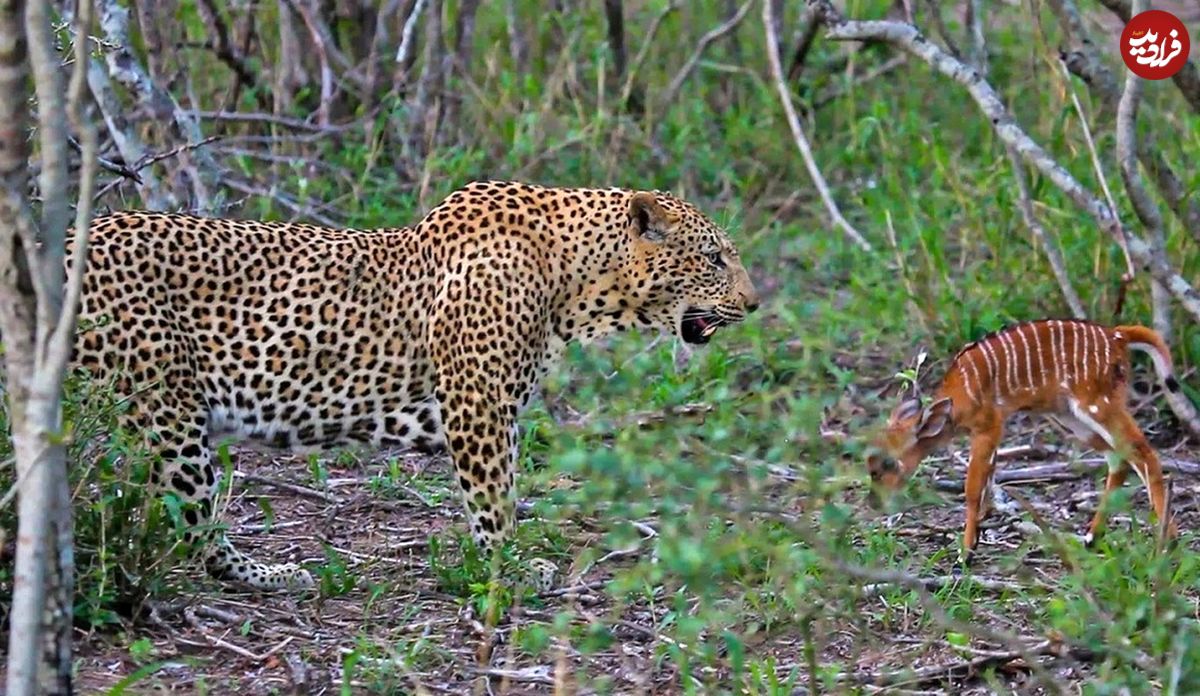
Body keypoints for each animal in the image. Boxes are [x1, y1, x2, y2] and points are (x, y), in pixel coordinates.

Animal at [70, 180, 753, 588]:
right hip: (167, 412)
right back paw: (266, 575)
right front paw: (507, 568)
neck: (577, 282)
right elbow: (493, 500)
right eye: (715, 257)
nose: (753, 302)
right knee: (196, 528)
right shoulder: (477, 405)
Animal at [868, 319, 1185, 559]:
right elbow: (988, 480)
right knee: (1118, 458)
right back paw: (1091, 537)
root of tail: (1119, 336)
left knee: (1143, 452)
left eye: (888, 464)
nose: (874, 502)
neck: (957, 399)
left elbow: (972, 487)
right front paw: (980, 531)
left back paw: (1167, 541)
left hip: (1098, 403)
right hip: (1071, 416)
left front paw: (966, 552)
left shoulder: (989, 424)